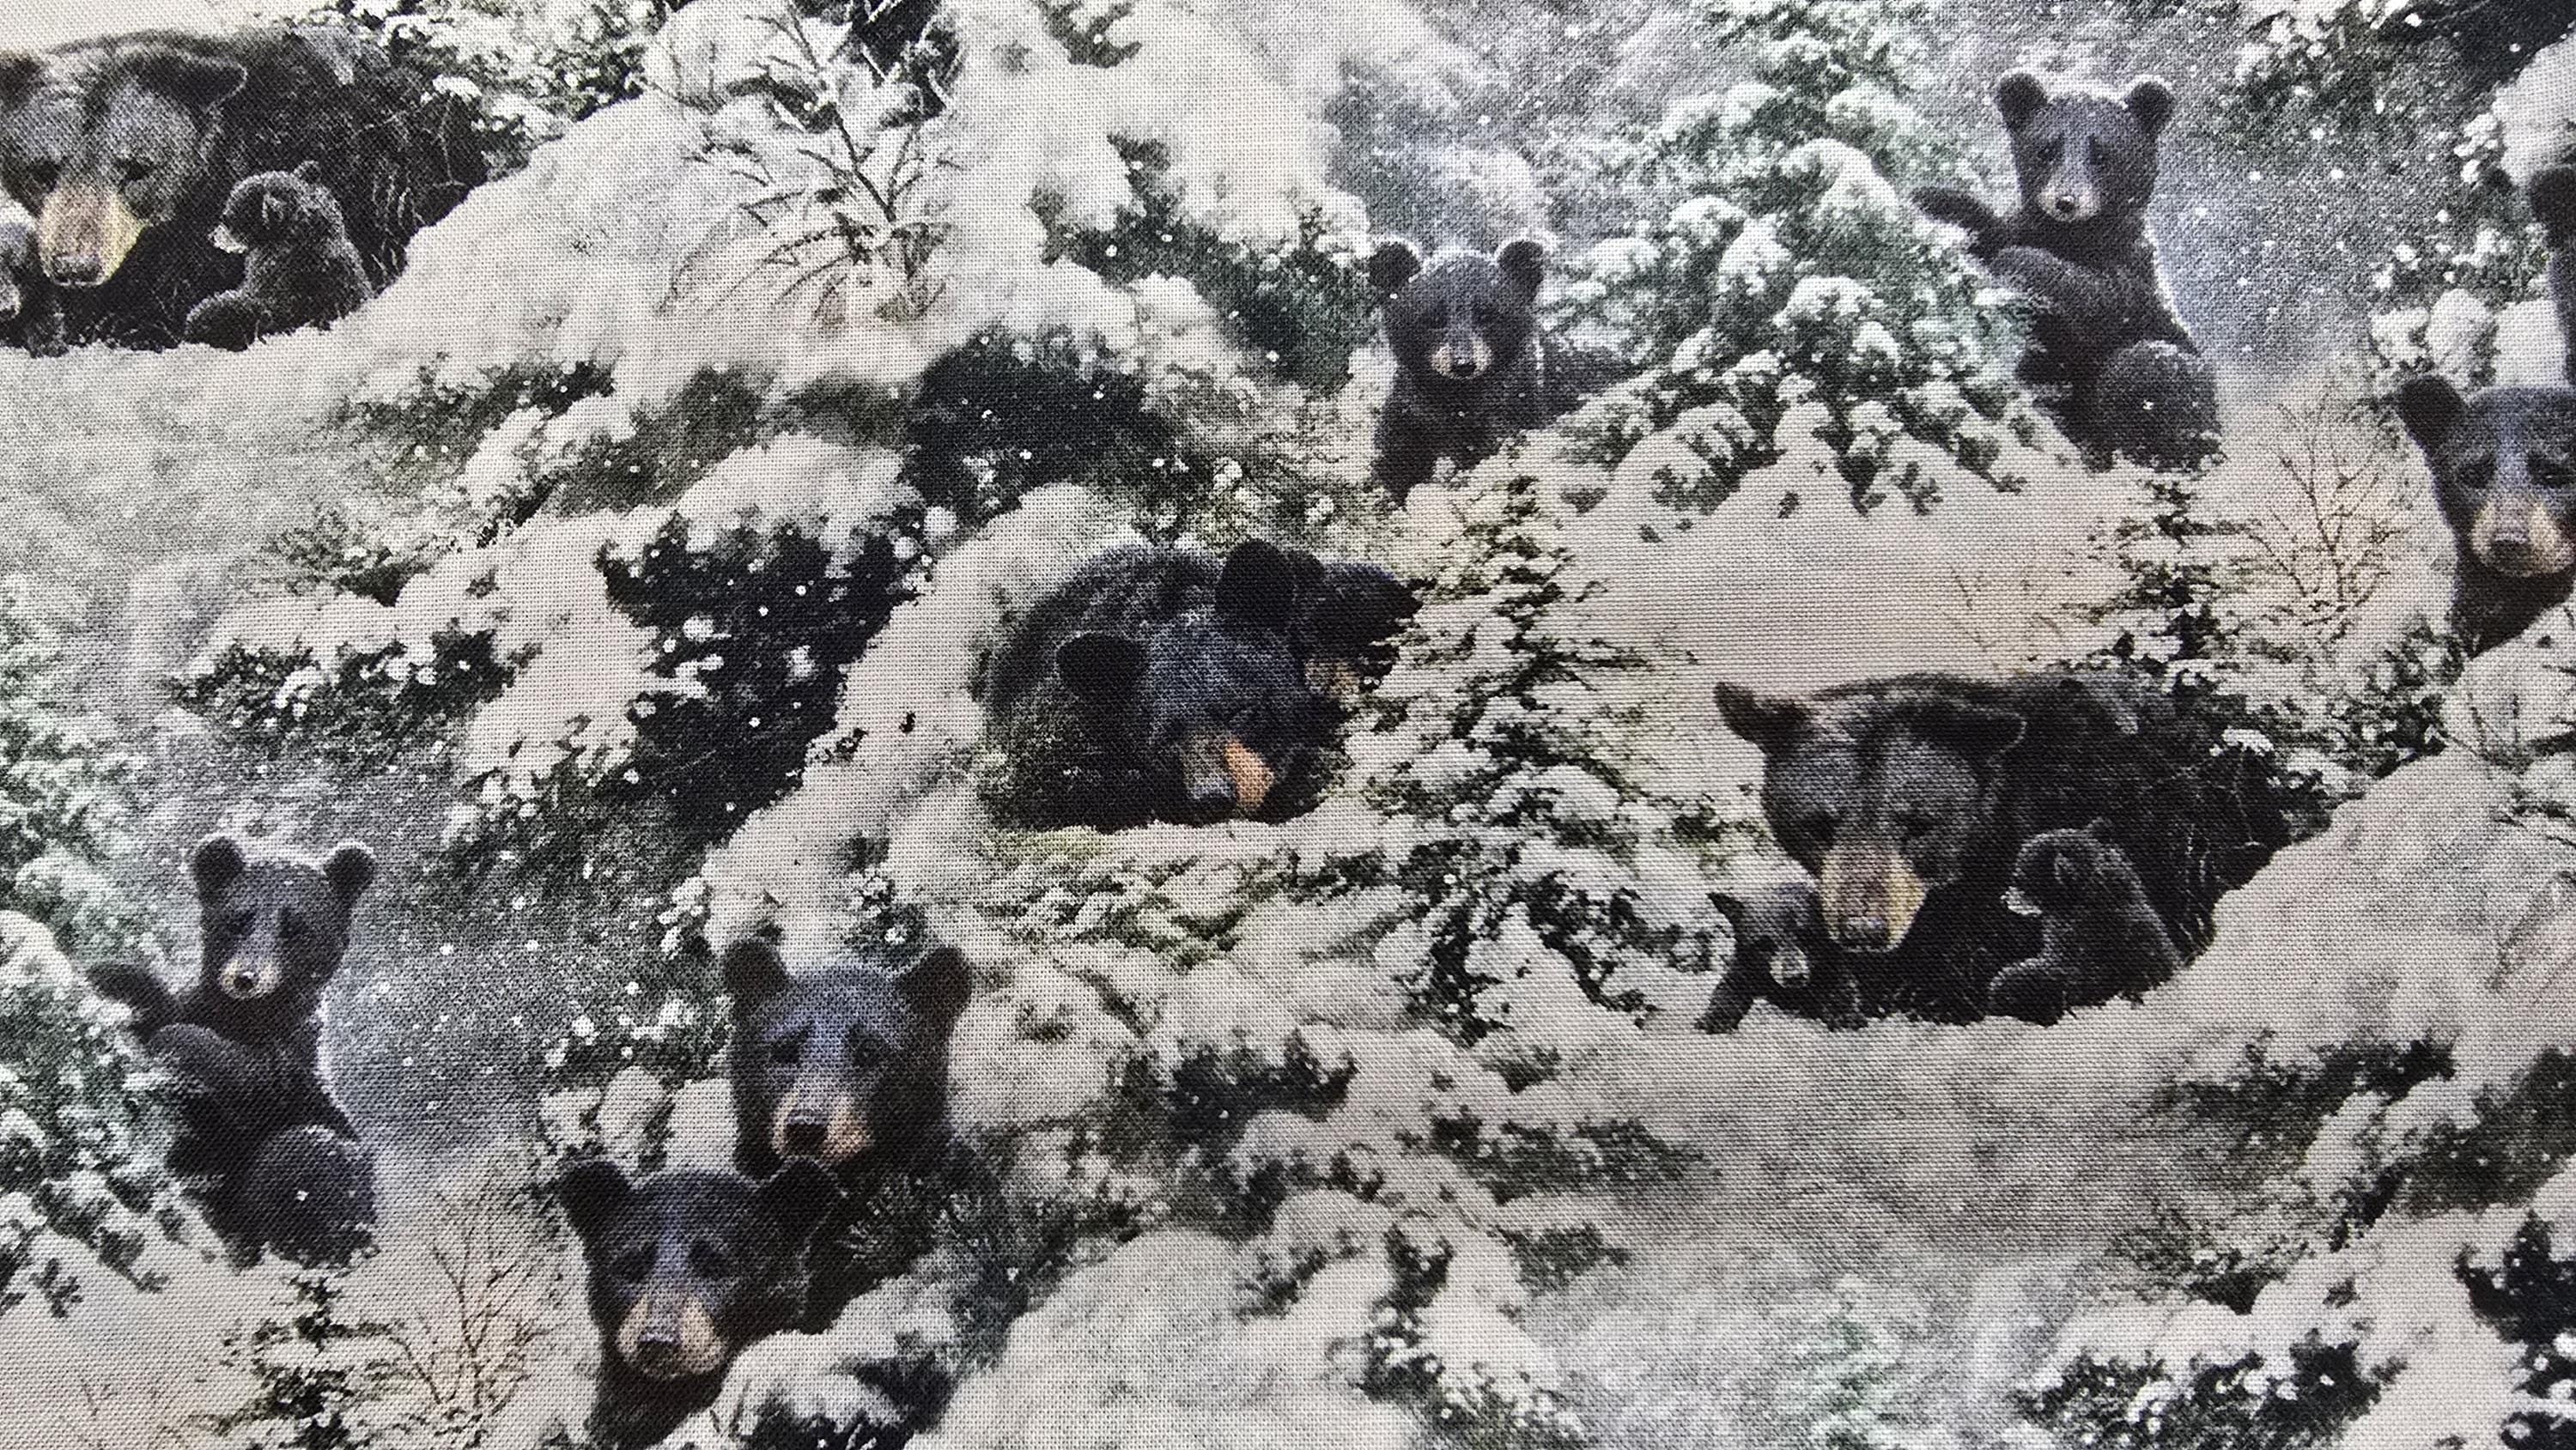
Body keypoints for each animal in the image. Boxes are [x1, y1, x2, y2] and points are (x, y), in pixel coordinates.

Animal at [87, 832, 380, 1263]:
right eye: (237, 919)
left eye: (295, 927)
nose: (245, 977)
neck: (244, 1016)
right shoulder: (196, 1005)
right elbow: (147, 997)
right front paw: (108, 977)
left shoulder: (287, 1065)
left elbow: (244, 1076)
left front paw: (173, 1044)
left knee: (309, 1156)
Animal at [1369, 237, 1551, 502]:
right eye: (1433, 318)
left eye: (1487, 315)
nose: (1463, 364)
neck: (1457, 397)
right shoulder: (1412, 414)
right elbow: (1397, 461)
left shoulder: (1514, 407)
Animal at [1696, 877, 1865, 1033]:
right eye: (1764, 945)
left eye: (1806, 937)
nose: (1794, 977)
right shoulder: (1744, 968)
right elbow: (1728, 989)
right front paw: (1716, 1017)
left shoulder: (1833, 961)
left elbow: (1841, 985)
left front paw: (1844, 1015)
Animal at [1912, 71, 2220, 472]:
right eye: (2047, 149)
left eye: (2102, 154)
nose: (2066, 201)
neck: (2072, 236)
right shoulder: (2026, 227)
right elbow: (1986, 228)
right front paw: (1931, 198)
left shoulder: (2131, 277)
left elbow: (2094, 299)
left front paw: (2017, 263)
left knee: (2154, 369)